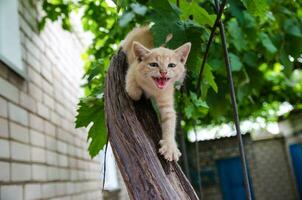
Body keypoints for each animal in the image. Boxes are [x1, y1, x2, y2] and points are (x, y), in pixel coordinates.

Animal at [121, 26, 190, 161]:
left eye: (171, 65)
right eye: (153, 64)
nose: (163, 72)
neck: (153, 88)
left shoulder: (167, 100)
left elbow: (170, 120)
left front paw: (170, 146)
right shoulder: (133, 68)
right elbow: (132, 85)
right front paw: (136, 92)